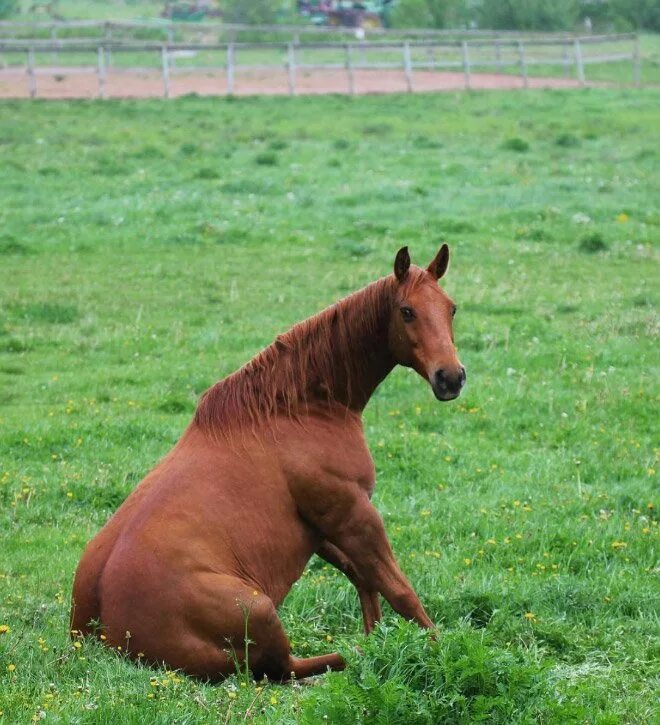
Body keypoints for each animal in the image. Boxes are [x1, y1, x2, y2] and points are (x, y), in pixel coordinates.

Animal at [71, 245, 464, 680]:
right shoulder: (352, 514)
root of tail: (98, 635)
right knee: (287, 667)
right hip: (259, 609)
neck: (298, 409)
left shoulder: (320, 527)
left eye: (451, 308)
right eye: (406, 311)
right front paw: (441, 653)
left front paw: (378, 636)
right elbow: (400, 592)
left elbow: (364, 578)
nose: (451, 377)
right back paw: (356, 655)